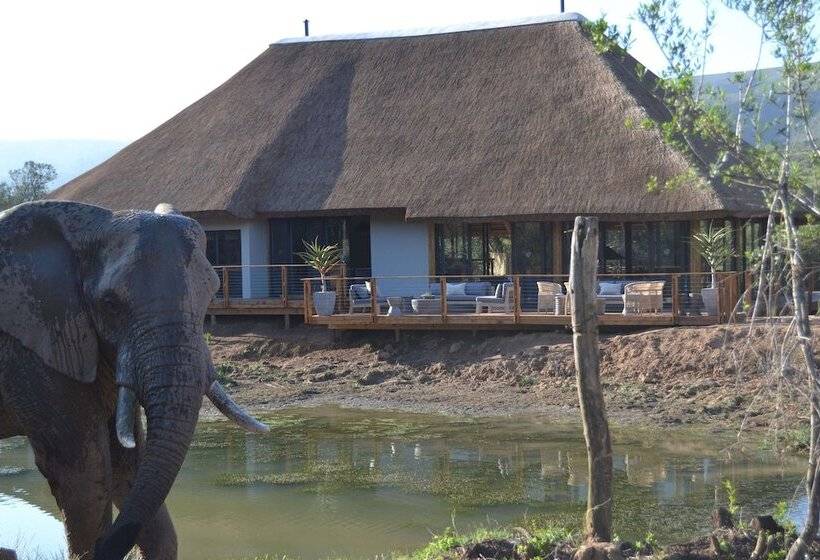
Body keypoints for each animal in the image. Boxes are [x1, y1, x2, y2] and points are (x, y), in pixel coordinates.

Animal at [0, 201, 268, 559]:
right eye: (111, 304)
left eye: (212, 293)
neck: (88, 225)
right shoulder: (31, 346)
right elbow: (84, 473)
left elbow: (130, 463)